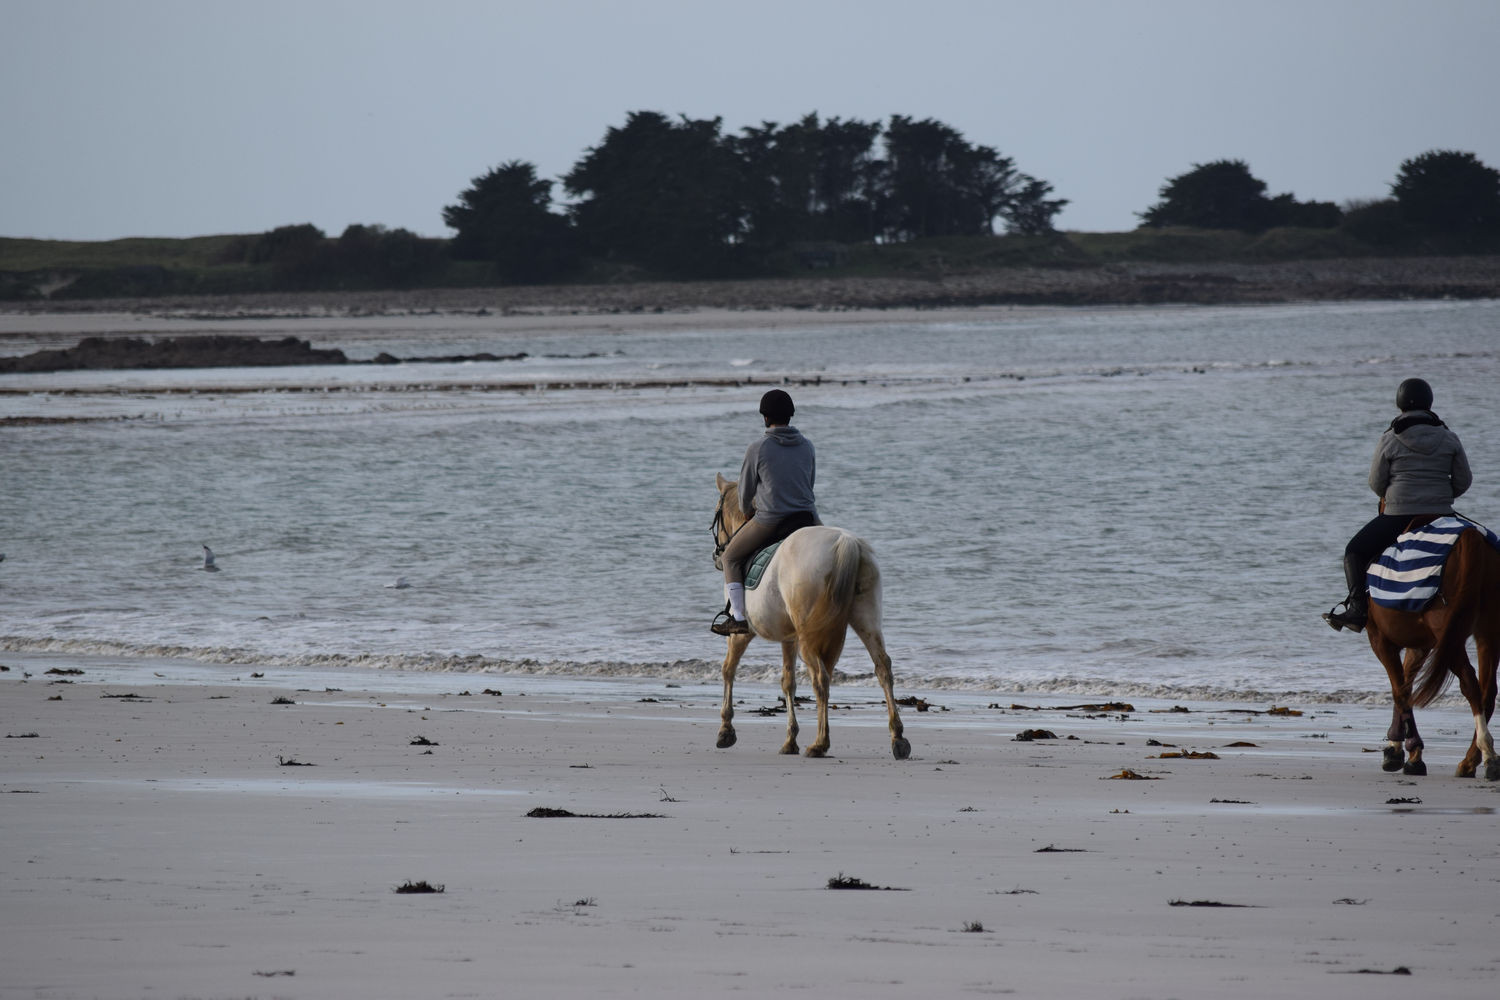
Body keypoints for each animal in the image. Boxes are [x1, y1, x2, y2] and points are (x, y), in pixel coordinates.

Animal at [708, 476, 906, 758]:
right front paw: (790, 739)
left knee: (821, 678)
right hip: (865, 619)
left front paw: (726, 730)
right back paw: (897, 738)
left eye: (718, 512)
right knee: (883, 668)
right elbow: (788, 682)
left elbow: (728, 670)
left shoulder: (742, 633)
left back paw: (820, 743)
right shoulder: (789, 637)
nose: (718, 554)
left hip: (810, 637)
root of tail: (847, 543)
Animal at [1374, 527, 1500, 779]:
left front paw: (1405, 753)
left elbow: (1400, 691)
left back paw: (1488, 753)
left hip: (1449, 634)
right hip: (1487, 631)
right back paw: (1471, 761)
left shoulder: (1381, 640)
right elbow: (1405, 685)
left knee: (1470, 684)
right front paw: (1404, 750)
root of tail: (1470, 536)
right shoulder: (1419, 645)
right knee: (1487, 692)